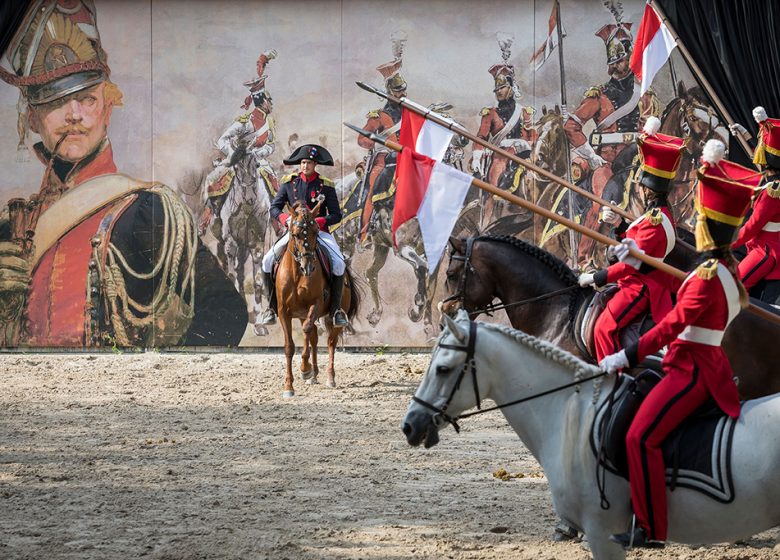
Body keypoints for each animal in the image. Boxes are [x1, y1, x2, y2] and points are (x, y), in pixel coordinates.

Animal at [274, 201, 360, 398]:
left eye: (316, 231)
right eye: (295, 234)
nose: (308, 267)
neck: (297, 274)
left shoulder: (316, 304)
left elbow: (306, 331)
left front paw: (304, 368)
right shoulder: (283, 312)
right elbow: (289, 346)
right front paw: (289, 386)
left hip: (333, 315)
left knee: (330, 342)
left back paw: (329, 377)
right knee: (313, 338)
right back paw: (313, 375)